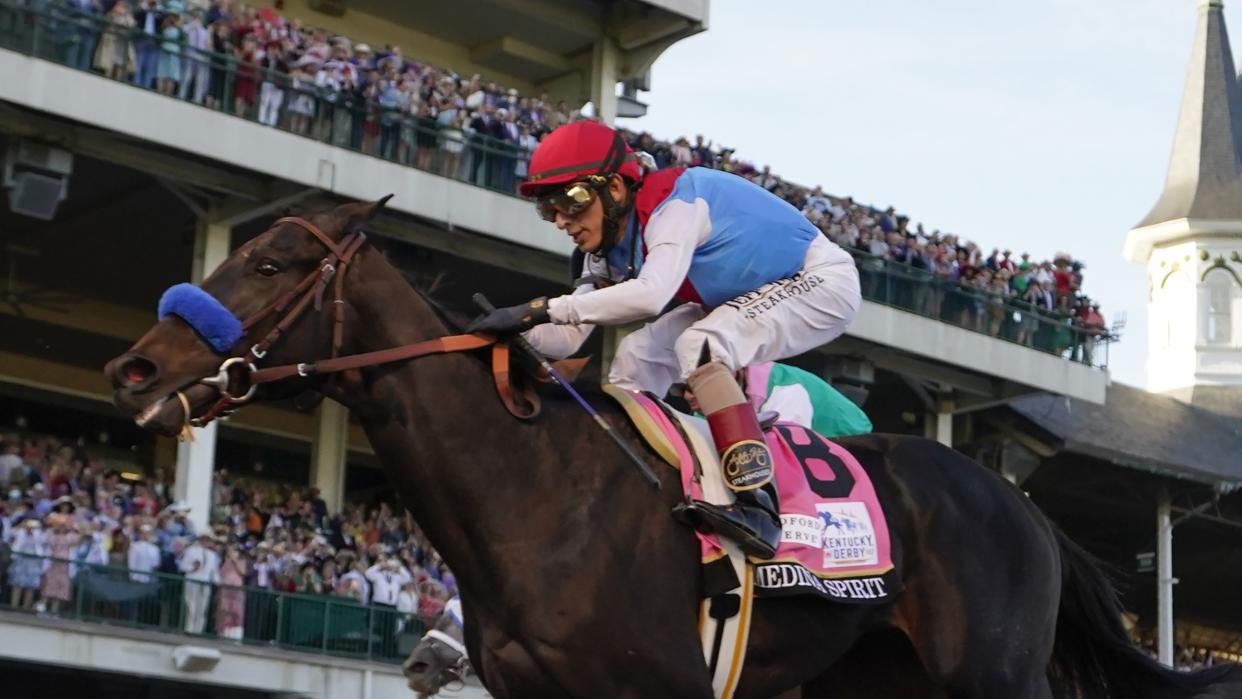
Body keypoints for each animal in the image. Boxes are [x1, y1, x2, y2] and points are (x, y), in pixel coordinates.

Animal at [106, 198, 1242, 699]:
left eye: (268, 263)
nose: (135, 368)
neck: (536, 497)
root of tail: (1025, 509)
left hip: (988, 674)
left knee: (700, 339)